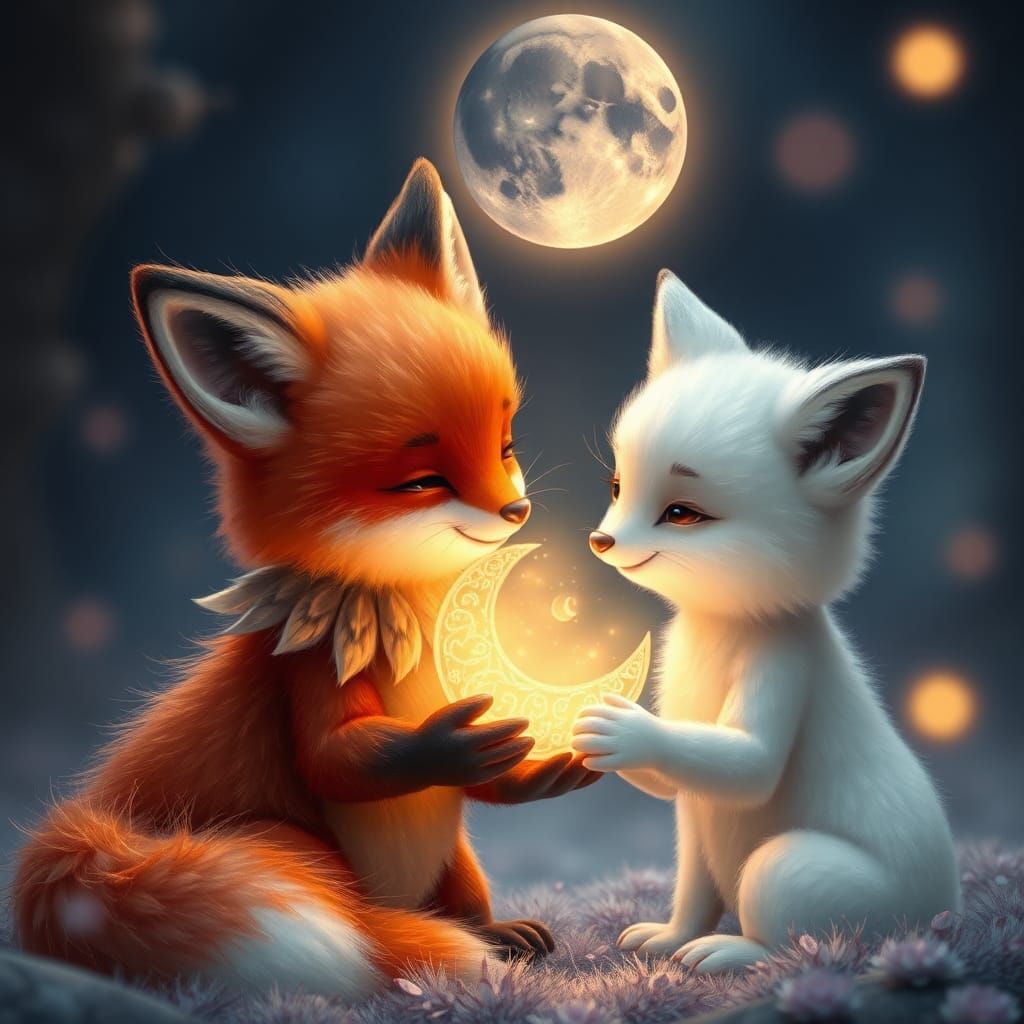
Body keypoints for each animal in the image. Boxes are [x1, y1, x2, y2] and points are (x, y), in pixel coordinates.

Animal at [13, 159, 599, 997]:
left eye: (506, 443)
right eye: (421, 481)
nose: (516, 510)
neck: (413, 608)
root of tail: (91, 820)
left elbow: (490, 785)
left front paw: (535, 770)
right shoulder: (310, 666)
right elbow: (338, 758)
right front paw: (451, 745)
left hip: (453, 860)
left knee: (461, 901)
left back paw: (492, 931)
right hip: (286, 843)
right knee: (364, 920)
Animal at [571, 270, 960, 973]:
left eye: (682, 513)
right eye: (616, 486)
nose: (601, 540)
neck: (721, 623)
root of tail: (940, 915)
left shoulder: (783, 665)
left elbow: (748, 764)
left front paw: (623, 727)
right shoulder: (689, 815)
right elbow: (684, 852)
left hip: (784, 866)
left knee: (797, 945)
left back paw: (727, 952)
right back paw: (680, 943)